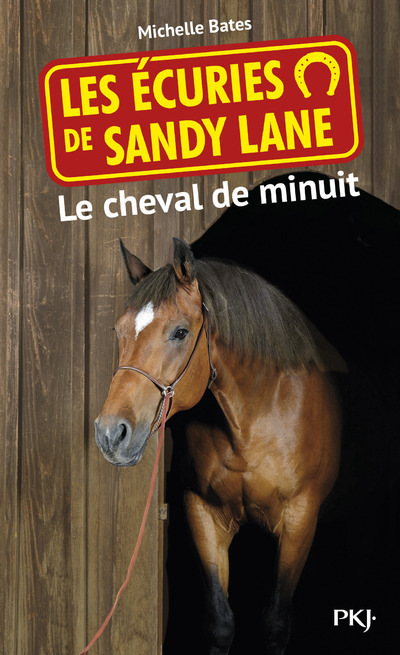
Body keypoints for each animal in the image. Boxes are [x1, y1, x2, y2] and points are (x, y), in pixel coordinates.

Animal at [95, 237, 342, 654]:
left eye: (180, 332)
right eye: (118, 330)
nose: (110, 434)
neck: (256, 419)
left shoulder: (300, 518)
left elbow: (276, 622)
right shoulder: (204, 511)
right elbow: (220, 621)